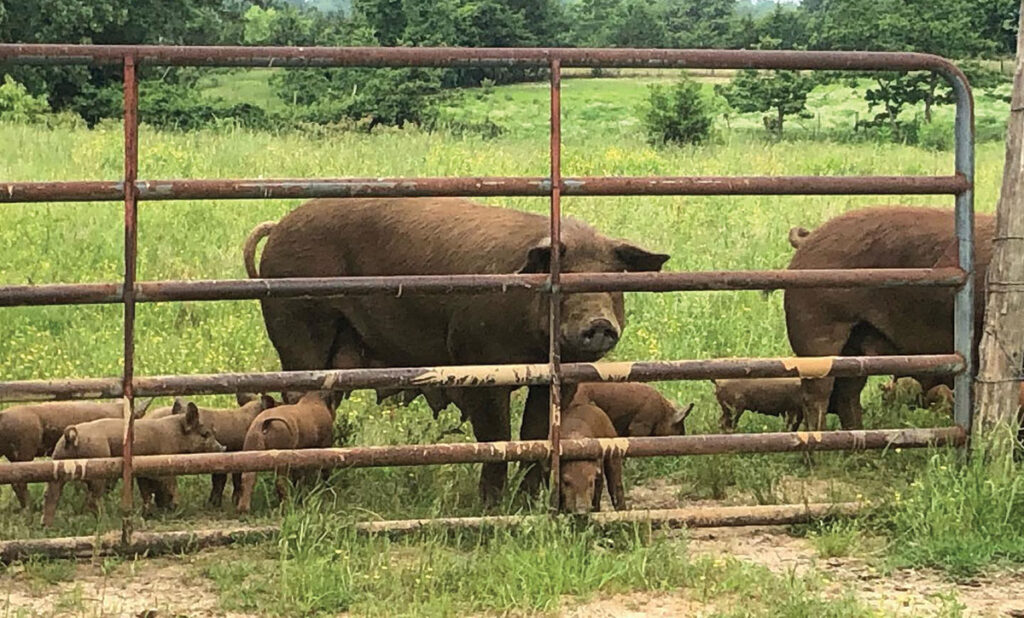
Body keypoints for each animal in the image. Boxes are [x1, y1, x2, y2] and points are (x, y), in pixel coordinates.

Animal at [42, 405, 224, 527]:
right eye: (205, 434)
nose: (223, 448)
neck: (176, 435)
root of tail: (71, 436)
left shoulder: (143, 473)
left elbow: (146, 492)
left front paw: (149, 513)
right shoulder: (166, 462)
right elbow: (170, 484)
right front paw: (175, 507)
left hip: (58, 463)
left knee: (51, 495)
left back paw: (47, 526)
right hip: (97, 466)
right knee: (92, 498)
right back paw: (106, 520)